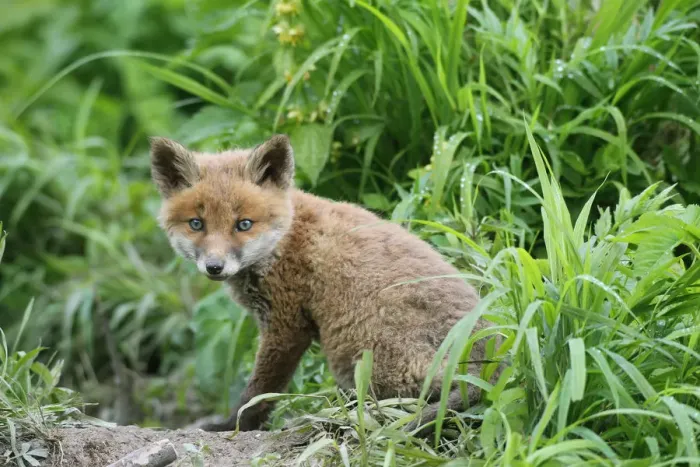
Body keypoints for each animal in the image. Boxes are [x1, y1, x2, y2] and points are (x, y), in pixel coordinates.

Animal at [149, 134, 496, 433]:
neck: (284, 239)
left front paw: (233, 426)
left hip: (355, 353)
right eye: (197, 224)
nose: (215, 267)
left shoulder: (286, 326)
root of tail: (493, 357)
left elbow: (259, 392)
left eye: (243, 224)